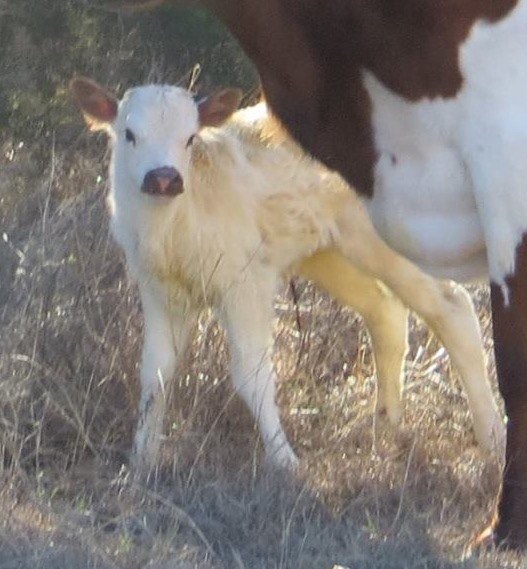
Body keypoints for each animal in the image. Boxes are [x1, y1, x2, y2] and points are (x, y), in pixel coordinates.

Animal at [70, 77, 502, 478]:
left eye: (190, 138)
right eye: (129, 134)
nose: (163, 178)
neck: (176, 223)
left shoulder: (246, 283)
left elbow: (252, 373)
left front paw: (284, 461)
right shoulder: (159, 290)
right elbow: (155, 373)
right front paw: (140, 461)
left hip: (391, 243)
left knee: (452, 308)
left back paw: (492, 440)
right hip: (327, 252)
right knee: (384, 310)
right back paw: (384, 424)